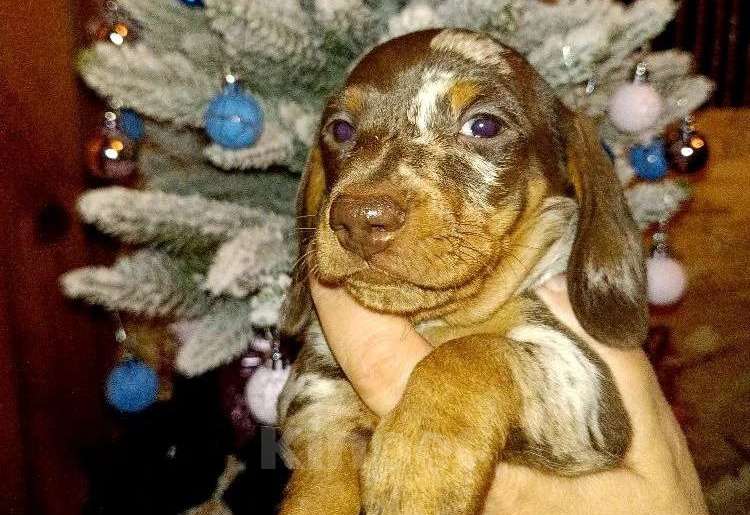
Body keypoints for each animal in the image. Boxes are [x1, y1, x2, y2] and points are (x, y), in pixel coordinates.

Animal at [276, 28, 647, 515]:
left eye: (484, 126)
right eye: (340, 129)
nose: (359, 219)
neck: (433, 321)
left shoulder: (583, 382)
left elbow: (469, 353)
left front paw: (419, 466)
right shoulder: (317, 382)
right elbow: (320, 465)